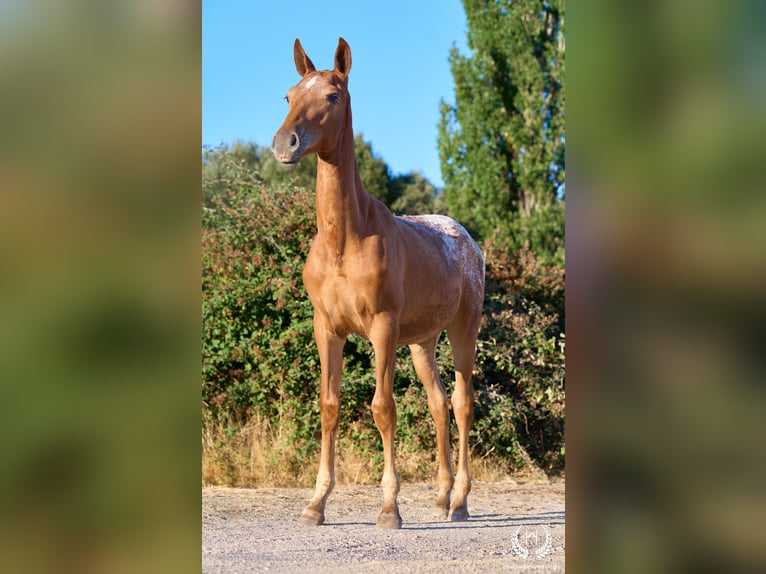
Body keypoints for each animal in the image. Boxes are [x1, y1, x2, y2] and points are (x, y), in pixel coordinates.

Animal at [271, 37, 484, 529]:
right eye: (289, 96)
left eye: (332, 96)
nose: (284, 144)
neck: (344, 241)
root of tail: (468, 241)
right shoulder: (327, 327)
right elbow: (330, 406)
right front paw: (316, 504)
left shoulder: (382, 327)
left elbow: (383, 409)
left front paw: (389, 508)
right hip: (423, 342)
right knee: (438, 403)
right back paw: (441, 498)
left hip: (463, 331)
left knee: (462, 403)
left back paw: (461, 503)